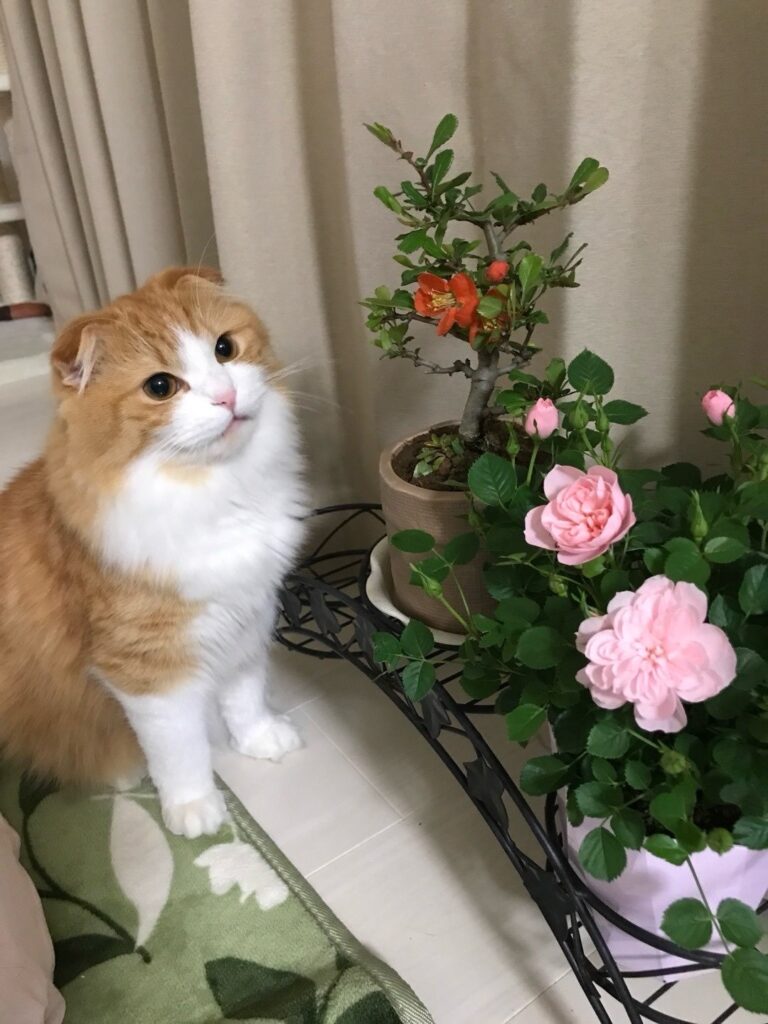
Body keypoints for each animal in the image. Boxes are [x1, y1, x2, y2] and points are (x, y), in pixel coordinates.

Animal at [0, 266, 308, 838]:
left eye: (225, 349)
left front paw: (259, 738)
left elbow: (245, 693)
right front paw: (194, 810)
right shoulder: (148, 669)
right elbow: (179, 750)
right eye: (160, 387)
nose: (226, 396)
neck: (217, 494)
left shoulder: (247, 611)